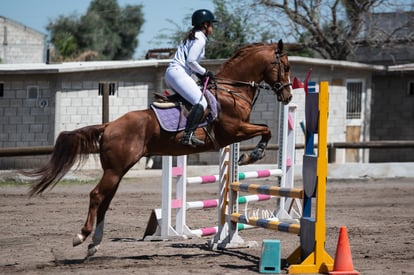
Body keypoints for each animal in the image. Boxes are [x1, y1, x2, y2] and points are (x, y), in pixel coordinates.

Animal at [23, 39, 292, 258]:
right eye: (286, 67)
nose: (288, 96)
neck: (232, 89)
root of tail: (109, 124)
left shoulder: (237, 131)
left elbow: (266, 129)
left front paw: (250, 155)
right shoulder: (234, 130)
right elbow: (266, 129)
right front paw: (252, 155)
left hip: (117, 170)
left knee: (105, 200)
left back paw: (94, 244)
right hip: (115, 169)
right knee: (97, 195)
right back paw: (81, 236)